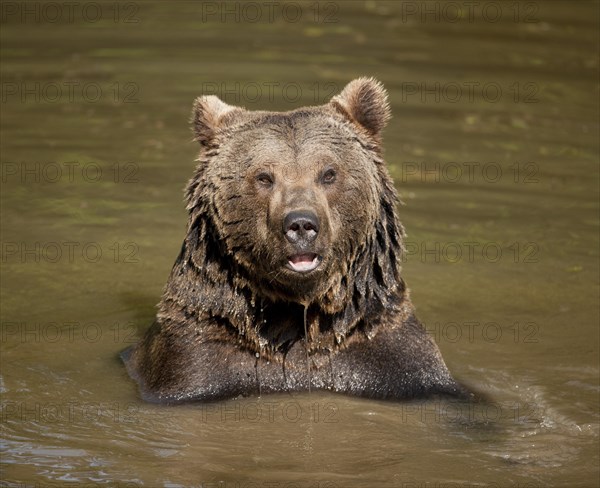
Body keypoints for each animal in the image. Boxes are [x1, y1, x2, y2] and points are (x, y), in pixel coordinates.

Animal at [122, 77, 468, 404]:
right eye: (263, 177)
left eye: (329, 173)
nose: (301, 224)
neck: (299, 314)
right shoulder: (197, 359)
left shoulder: (389, 358)